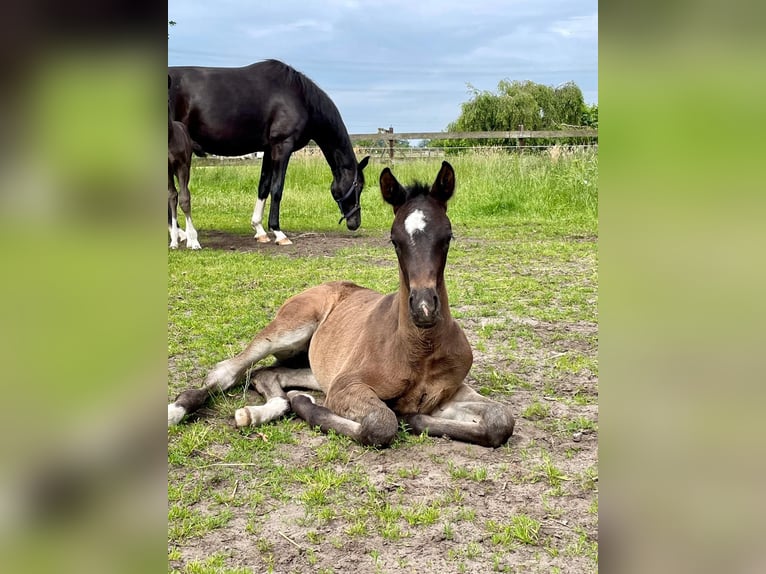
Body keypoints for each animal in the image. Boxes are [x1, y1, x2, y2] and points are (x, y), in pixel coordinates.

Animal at [167, 162, 516, 450]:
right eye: (394, 240)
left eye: (447, 237)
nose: (424, 308)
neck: (421, 348)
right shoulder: (346, 385)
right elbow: (381, 424)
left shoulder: (449, 392)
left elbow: (501, 420)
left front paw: (415, 417)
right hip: (289, 329)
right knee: (228, 369)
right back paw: (176, 411)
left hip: (315, 365)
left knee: (267, 374)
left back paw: (258, 412)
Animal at [169, 59, 372, 245]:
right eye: (359, 186)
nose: (355, 223)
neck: (300, 97)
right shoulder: (282, 146)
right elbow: (277, 188)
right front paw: (278, 232)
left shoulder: (269, 150)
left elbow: (264, 186)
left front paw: (259, 229)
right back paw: (182, 234)